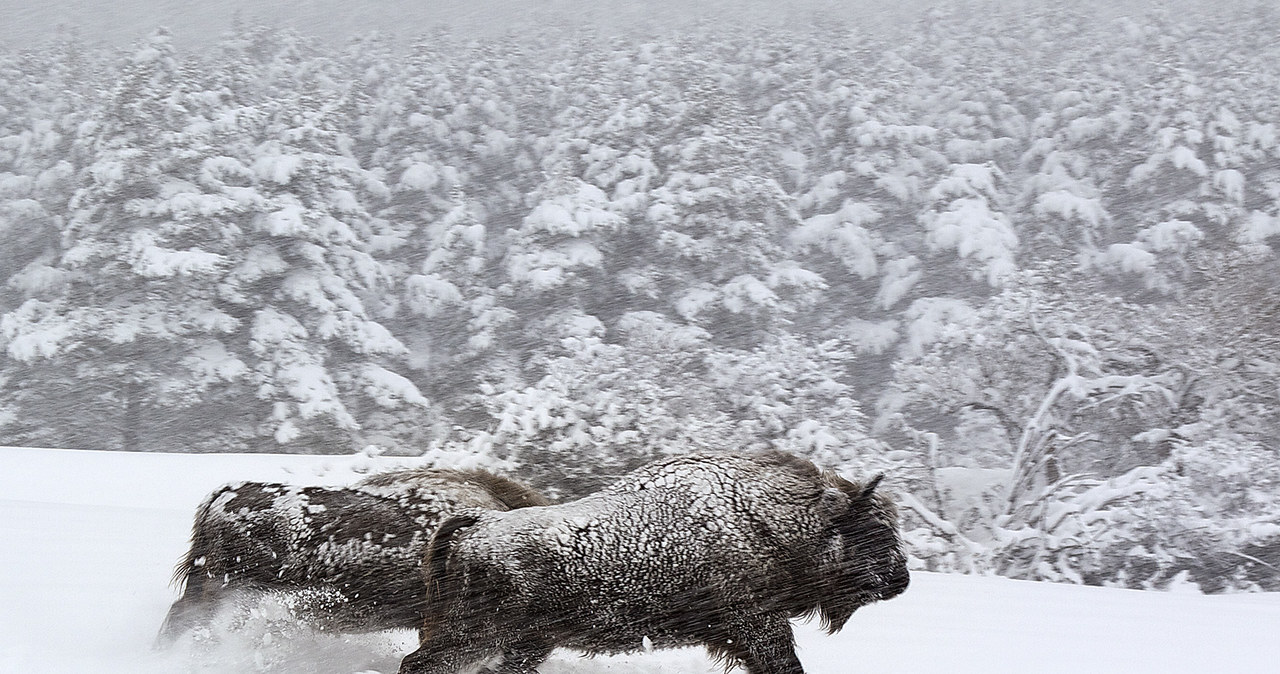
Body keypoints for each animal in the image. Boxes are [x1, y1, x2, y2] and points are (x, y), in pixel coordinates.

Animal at [399, 450, 911, 674]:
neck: (757, 518)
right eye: (874, 529)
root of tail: (478, 523)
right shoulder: (757, 624)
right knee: (420, 664)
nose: (901, 580)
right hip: (476, 635)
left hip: (527, 641)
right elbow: (784, 663)